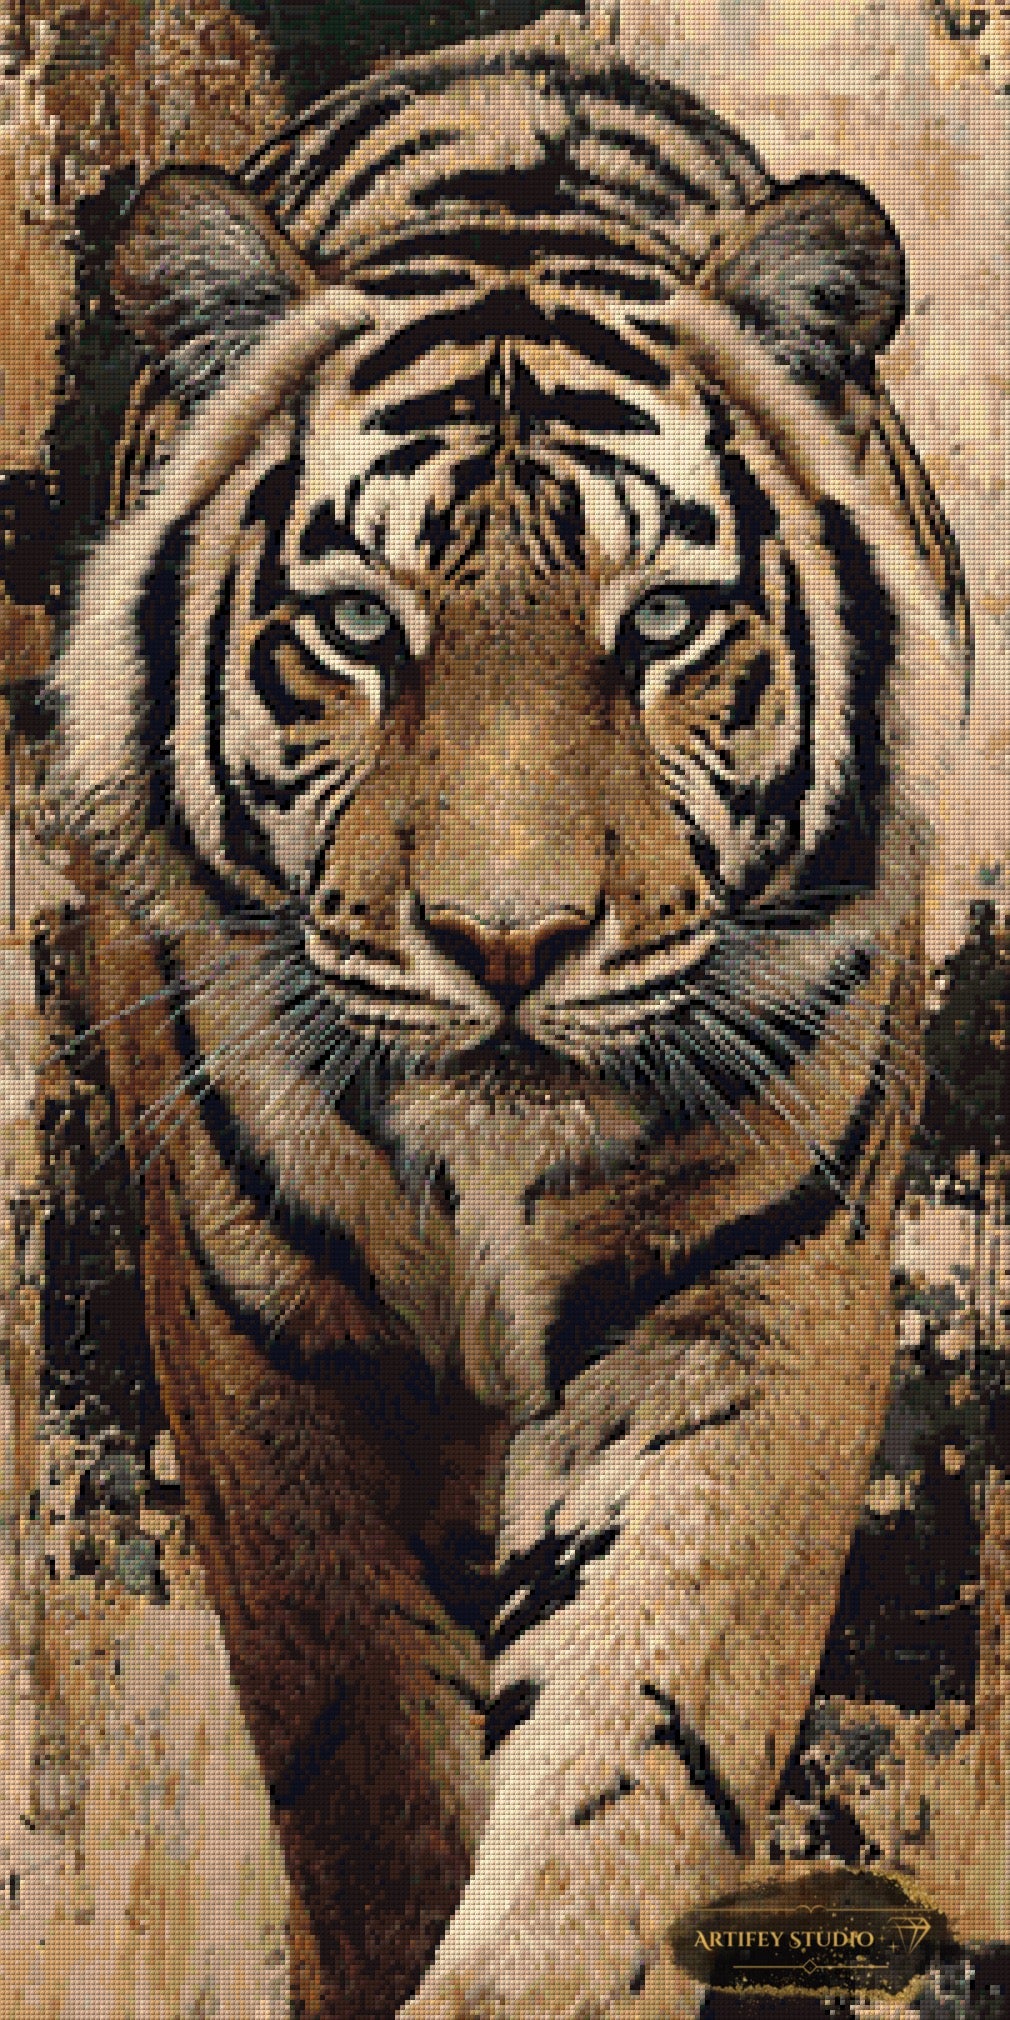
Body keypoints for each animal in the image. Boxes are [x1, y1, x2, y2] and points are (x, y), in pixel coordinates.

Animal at [42, 9, 968, 2018]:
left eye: (668, 625)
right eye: (359, 630)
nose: (508, 940)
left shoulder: (751, 1302)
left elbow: (643, 1737)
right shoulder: (265, 1319)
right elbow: (367, 1757)